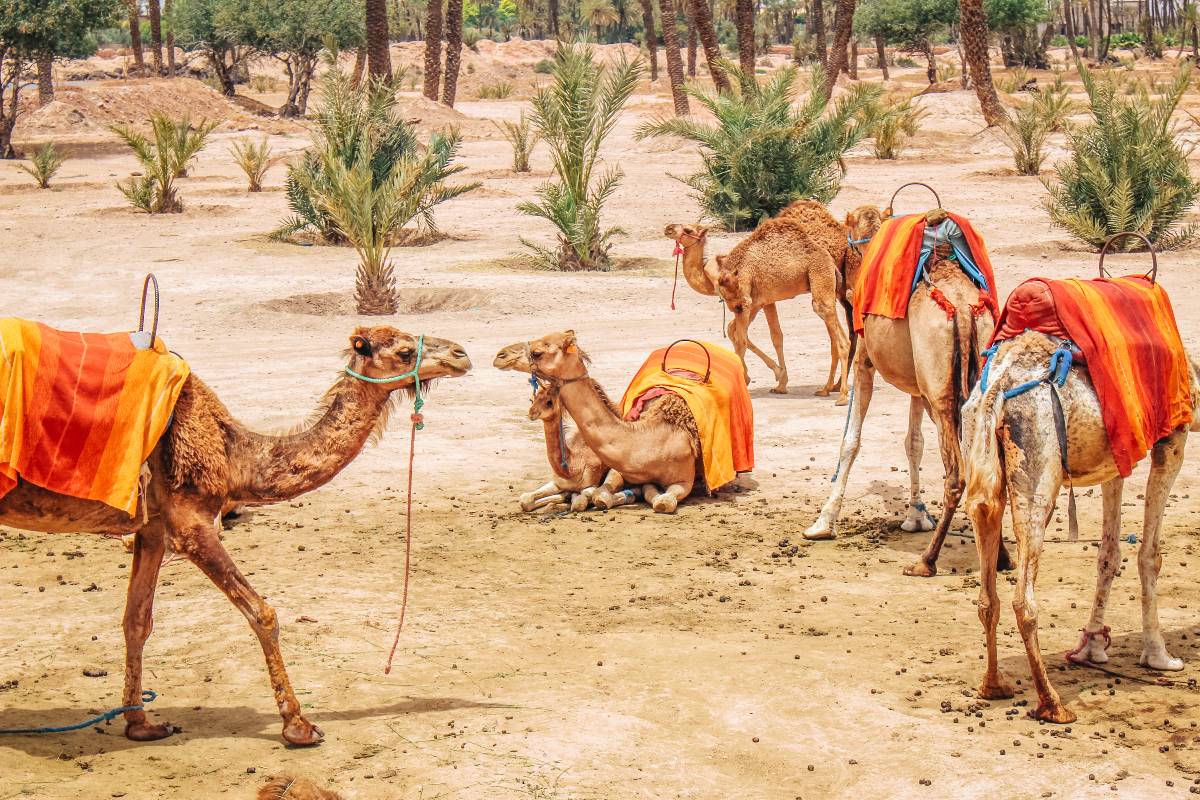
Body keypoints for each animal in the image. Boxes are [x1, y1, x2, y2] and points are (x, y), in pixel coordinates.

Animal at [0, 326, 471, 745]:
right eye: (405, 351)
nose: (462, 355)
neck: (233, 453)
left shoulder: (153, 526)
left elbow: (137, 619)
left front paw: (141, 724)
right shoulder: (190, 522)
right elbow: (263, 613)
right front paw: (299, 726)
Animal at [519, 382, 605, 512]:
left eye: (549, 402)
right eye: (532, 399)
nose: (531, 413)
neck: (572, 468)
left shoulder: (592, 485)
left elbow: (579, 502)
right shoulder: (557, 483)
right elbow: (525, 499)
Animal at [804, 209, 1014, 579]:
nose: (845, 286)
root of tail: (962, 308)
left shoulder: (864, 362)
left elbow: (850, 441)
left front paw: (824, 522)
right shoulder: (918, 386)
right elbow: (913, 443)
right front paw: (915, 515)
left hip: (941, 392)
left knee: (957, 475)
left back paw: (926, 561)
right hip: (973, 373)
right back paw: (1001, 556)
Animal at [962, 331, 1200, 723]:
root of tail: (996, 387)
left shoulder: (1118, 457)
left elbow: (1109, 554)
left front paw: (1092, 647)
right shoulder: (1171, 440)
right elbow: (1150, 556)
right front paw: (1158, 655)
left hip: (980, 462)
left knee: (987, 588)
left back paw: (992, 686)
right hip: (1037, 469)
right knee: (1023, 599)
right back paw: (1052, 704)